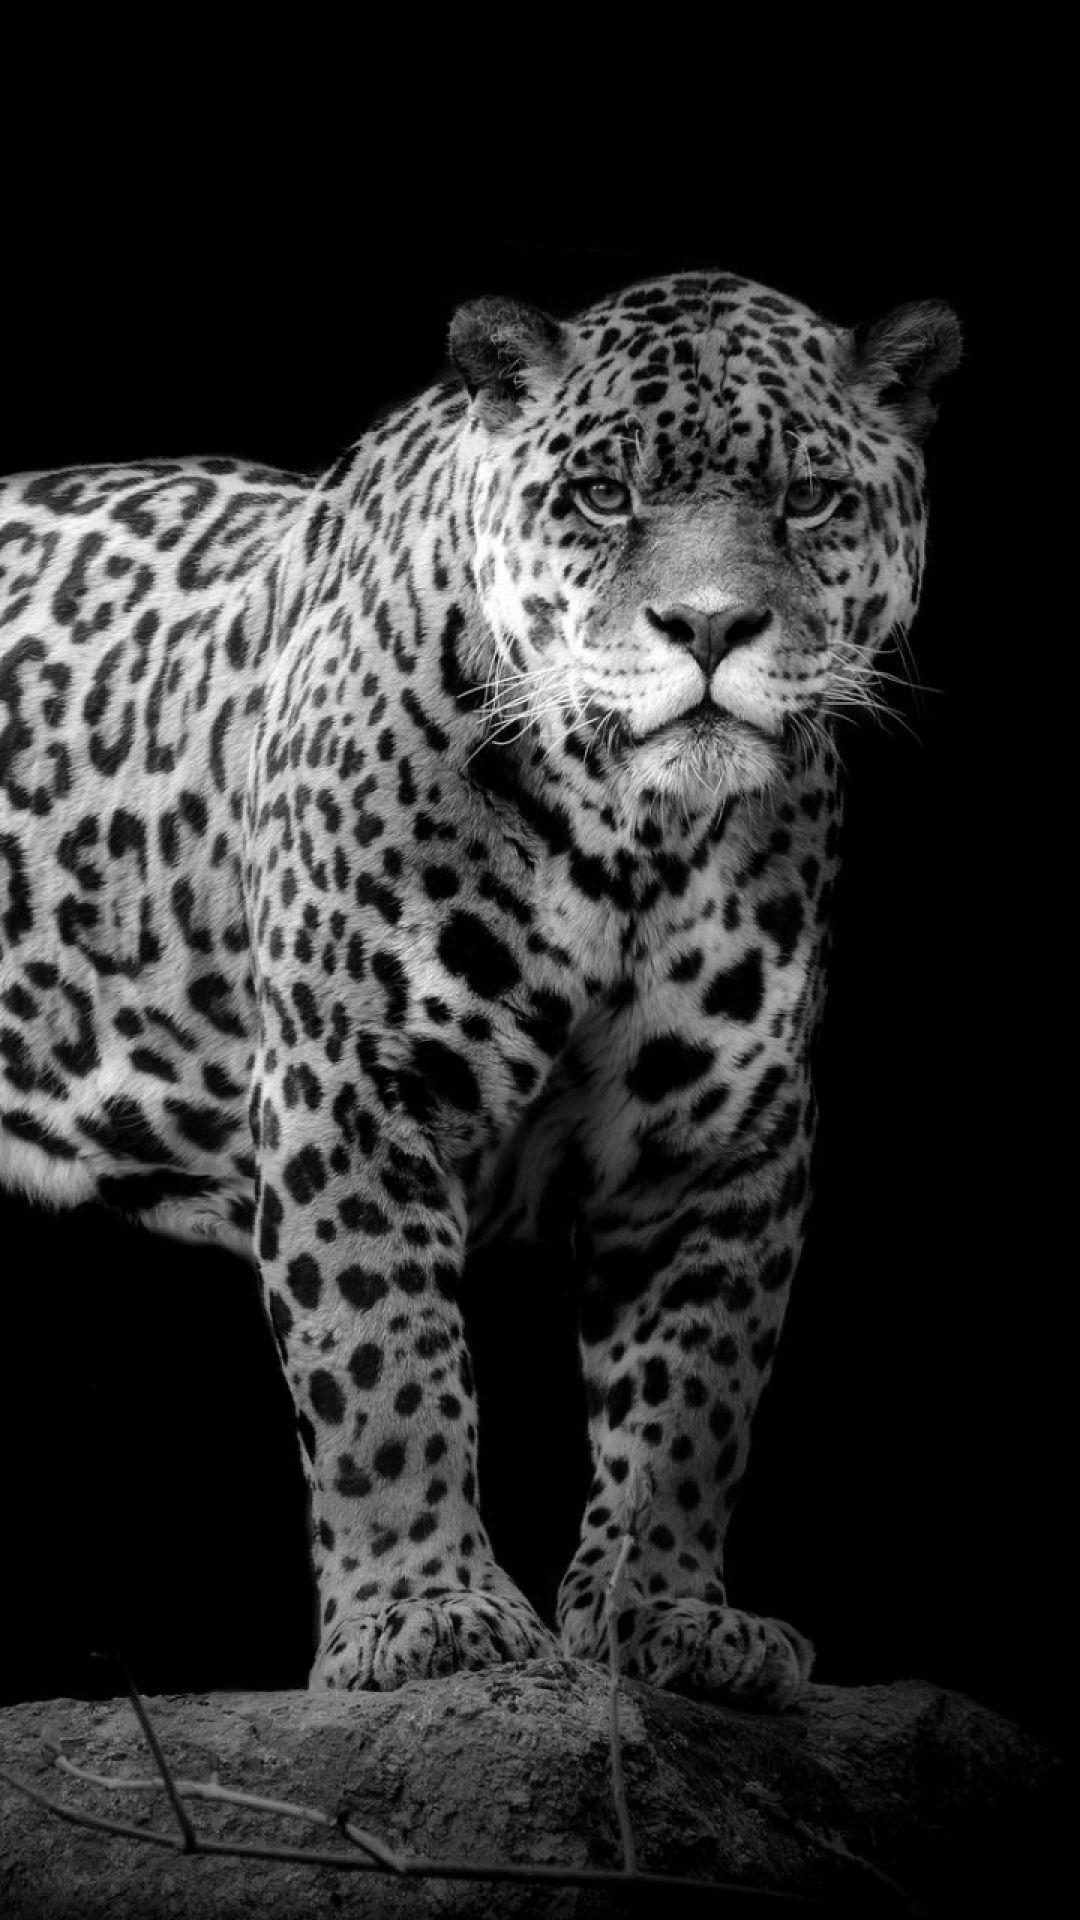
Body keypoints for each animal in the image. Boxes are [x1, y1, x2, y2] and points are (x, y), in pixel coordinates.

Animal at [0, 269, 960, 1708]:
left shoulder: (725, 1136)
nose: (711, 626)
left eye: (809, 499)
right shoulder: (353, 1082)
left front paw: (670, 1617)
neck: (632, 835)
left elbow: (693, 1402)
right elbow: (383, 1365)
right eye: (604, 495)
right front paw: (425, 1617)